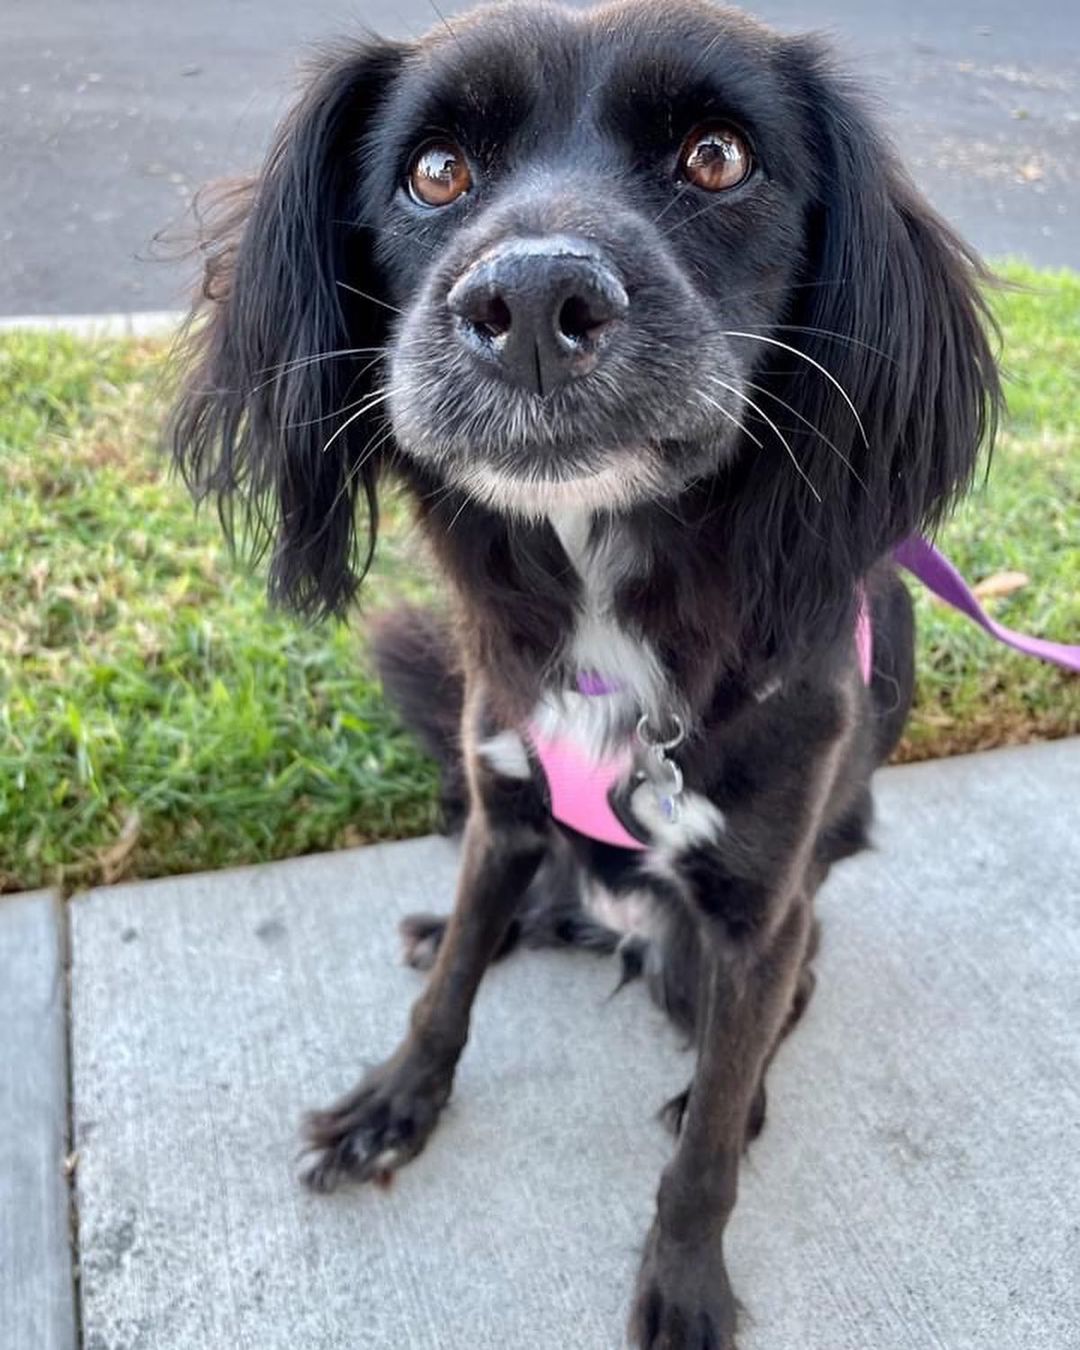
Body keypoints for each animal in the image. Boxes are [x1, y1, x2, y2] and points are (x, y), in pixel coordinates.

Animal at [170, 5, 1004, 1344]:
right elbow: (452, 988)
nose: (531, 298)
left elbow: (707, 1145)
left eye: (718, 157)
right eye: (435, 171)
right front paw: (394, 1101)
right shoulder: (503, 795)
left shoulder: (757, 919)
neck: (608, 599)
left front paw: (685, 1275)